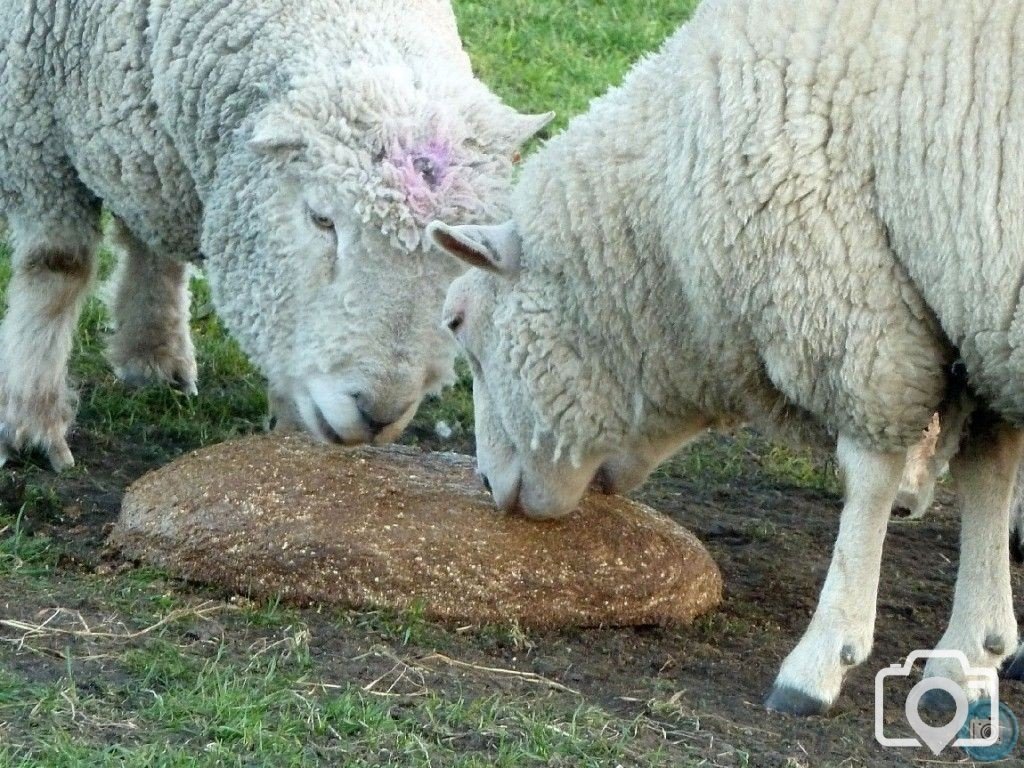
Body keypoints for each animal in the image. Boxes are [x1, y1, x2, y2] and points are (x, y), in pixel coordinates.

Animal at [0, 0, 552, 468]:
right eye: (321, 218)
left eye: (459, 252)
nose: (379, 413)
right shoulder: (34, 132)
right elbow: (58, 268)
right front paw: (31, 424)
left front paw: (153, 354)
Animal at [428, 0, 1024, 720]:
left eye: (458, 322)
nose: (487, 485)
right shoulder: (972, 319)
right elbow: (989, 473)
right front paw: (973, 653)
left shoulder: (856, 302)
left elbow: (871, 477)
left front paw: (821, 659)